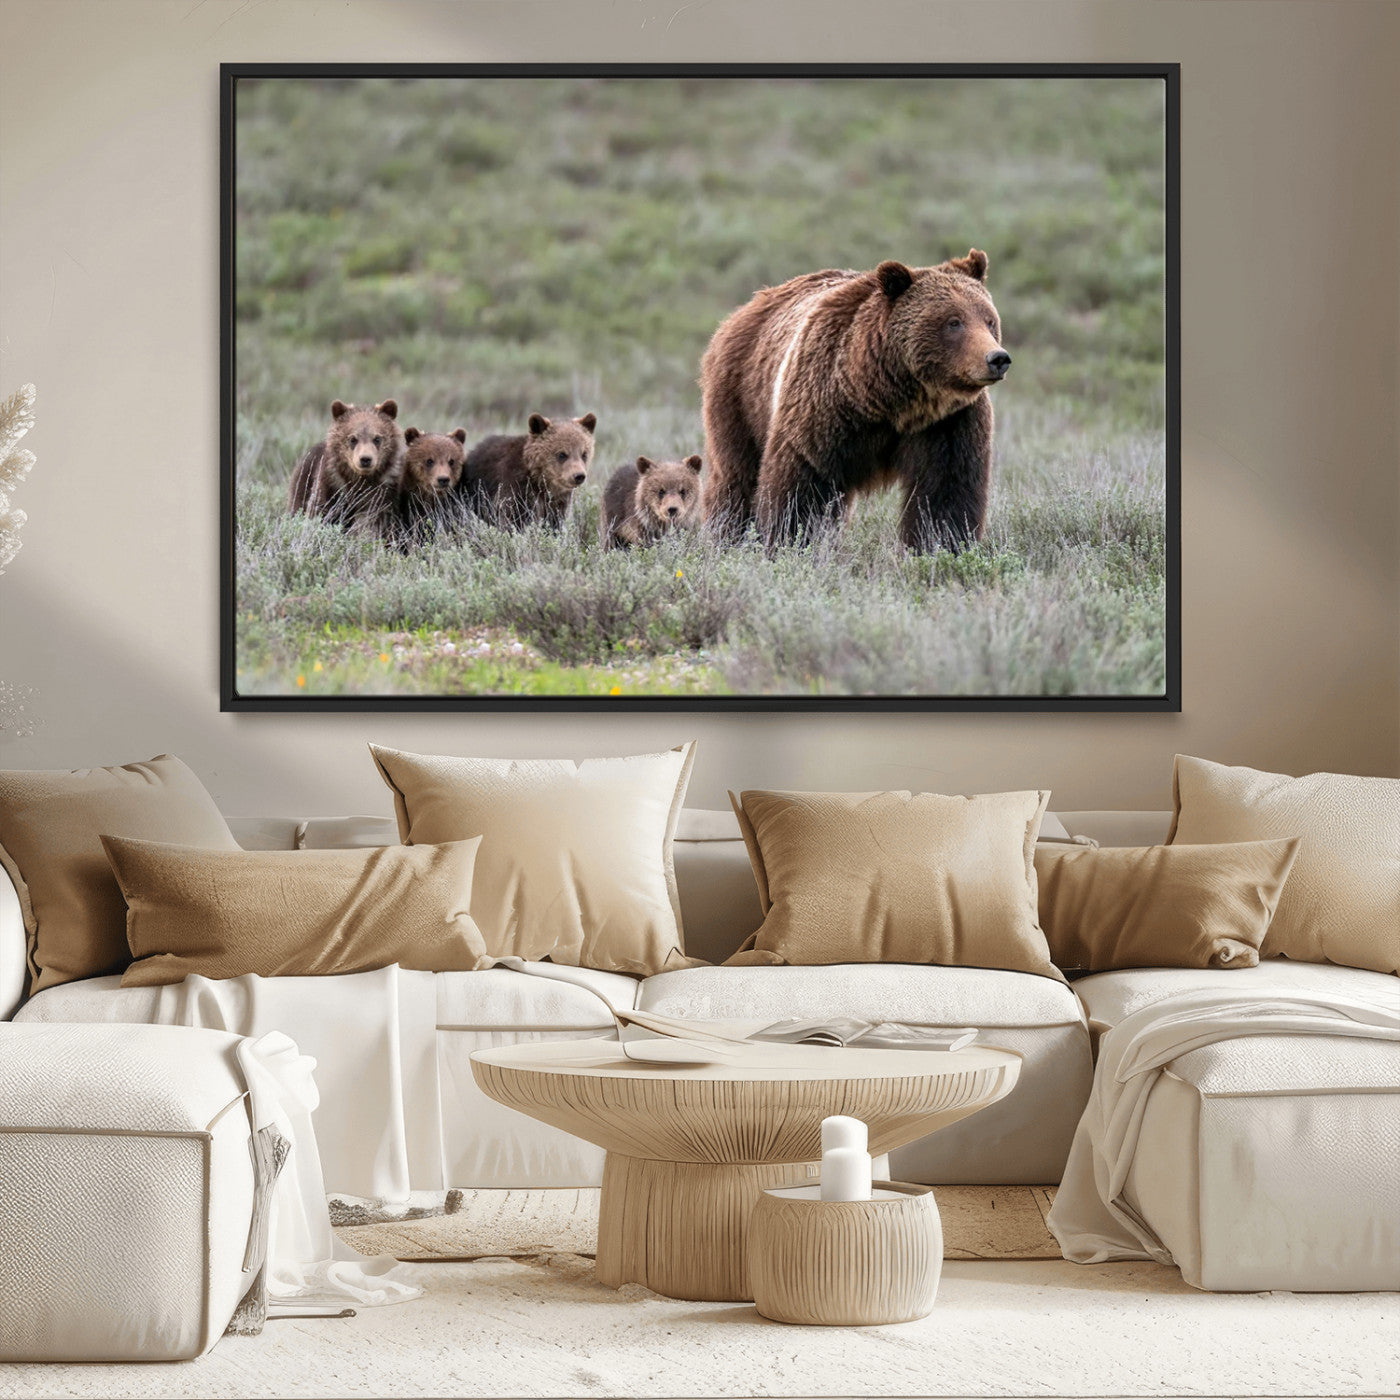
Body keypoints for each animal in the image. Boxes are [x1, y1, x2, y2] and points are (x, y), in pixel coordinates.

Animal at [288, 398, 405, 537]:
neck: (360, 478)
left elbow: (376, 519)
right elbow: (320, 510)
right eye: (353, 439)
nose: (365, 459)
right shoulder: (332, 483)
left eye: (377, 438)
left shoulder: (383, 490)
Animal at [459, 413, 597, 529]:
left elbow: (554, 521)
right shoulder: (516, 488)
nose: (578, 476)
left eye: (584, 454)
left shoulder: (557, 501)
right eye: (562, 454)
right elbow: (514, 518)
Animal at [699, 250, 1010, 551]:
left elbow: (946, 492)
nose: (997, 358)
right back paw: (726, 535)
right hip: (742, 395)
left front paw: (940, 546)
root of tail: (746, 308)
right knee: (736, 476)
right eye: (953, 322)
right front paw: (789, 542)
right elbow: (801, 484)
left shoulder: (947, 422)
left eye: (989, 320)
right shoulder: (823, 408)